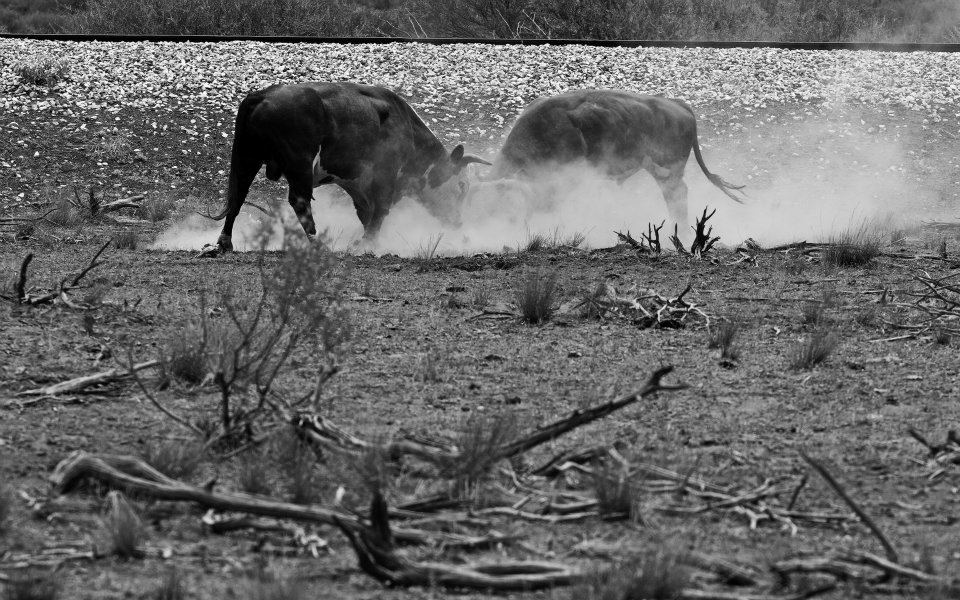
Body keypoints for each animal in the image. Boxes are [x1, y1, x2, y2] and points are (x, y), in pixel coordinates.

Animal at [202, 82, 490, 256]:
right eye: (462, 185)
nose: (458, 222)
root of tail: (261, 96)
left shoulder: (357, 184)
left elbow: (366, 213)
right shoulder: (384, 177)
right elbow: (379, 211)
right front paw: (368, 243)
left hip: (246, 159)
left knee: (237, 198)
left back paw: (225, 242)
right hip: (299, 165)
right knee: (299, 201)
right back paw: (317, 243)